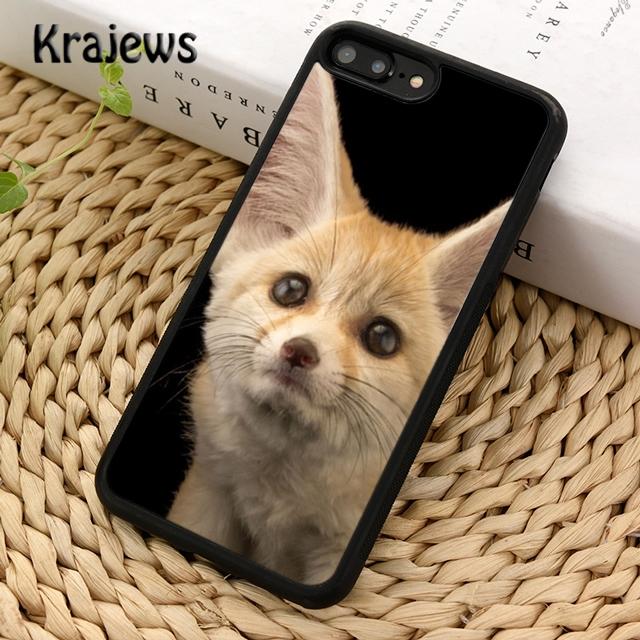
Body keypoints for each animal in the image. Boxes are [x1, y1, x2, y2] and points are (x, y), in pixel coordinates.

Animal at [167, 64, 509, 584]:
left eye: (382, 337)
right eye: (290, 290)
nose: (300, 350)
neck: (277, 490)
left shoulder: (334, 551)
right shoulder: (209, 492)